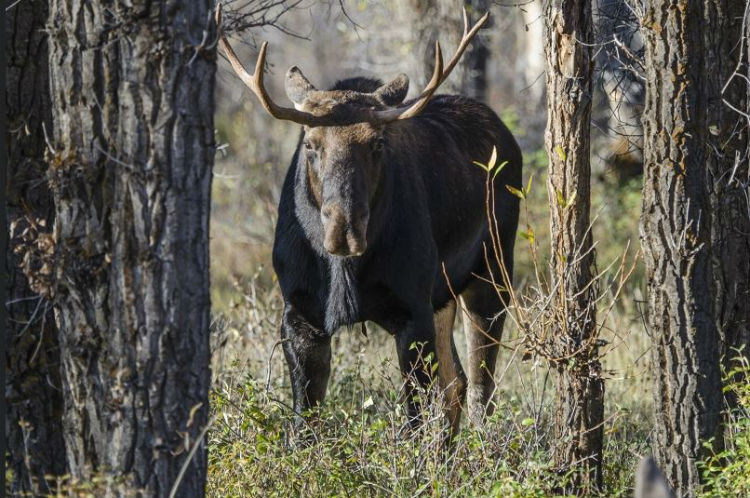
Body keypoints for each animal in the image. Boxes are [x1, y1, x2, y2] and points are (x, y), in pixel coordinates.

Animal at [217, 6, 524, 436]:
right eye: (309, 144)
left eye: (378, 142)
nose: (344, 230)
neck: (344, 272)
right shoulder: (299, 313)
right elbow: (303, 424)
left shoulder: (411, 311)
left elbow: (413, 422)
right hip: (443, 296)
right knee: (456, 383)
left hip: (491, 273)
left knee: (482, 390)